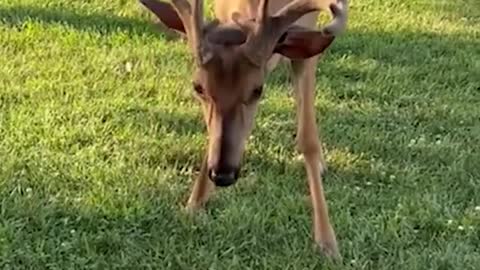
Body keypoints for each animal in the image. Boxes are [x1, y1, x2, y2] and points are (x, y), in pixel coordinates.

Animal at [139, 0, 348, 260]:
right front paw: (194, 203)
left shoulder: (305, 50)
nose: (222, 174)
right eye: (198, 87)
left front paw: (327, 241)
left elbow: (307, 138)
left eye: (257, 89)